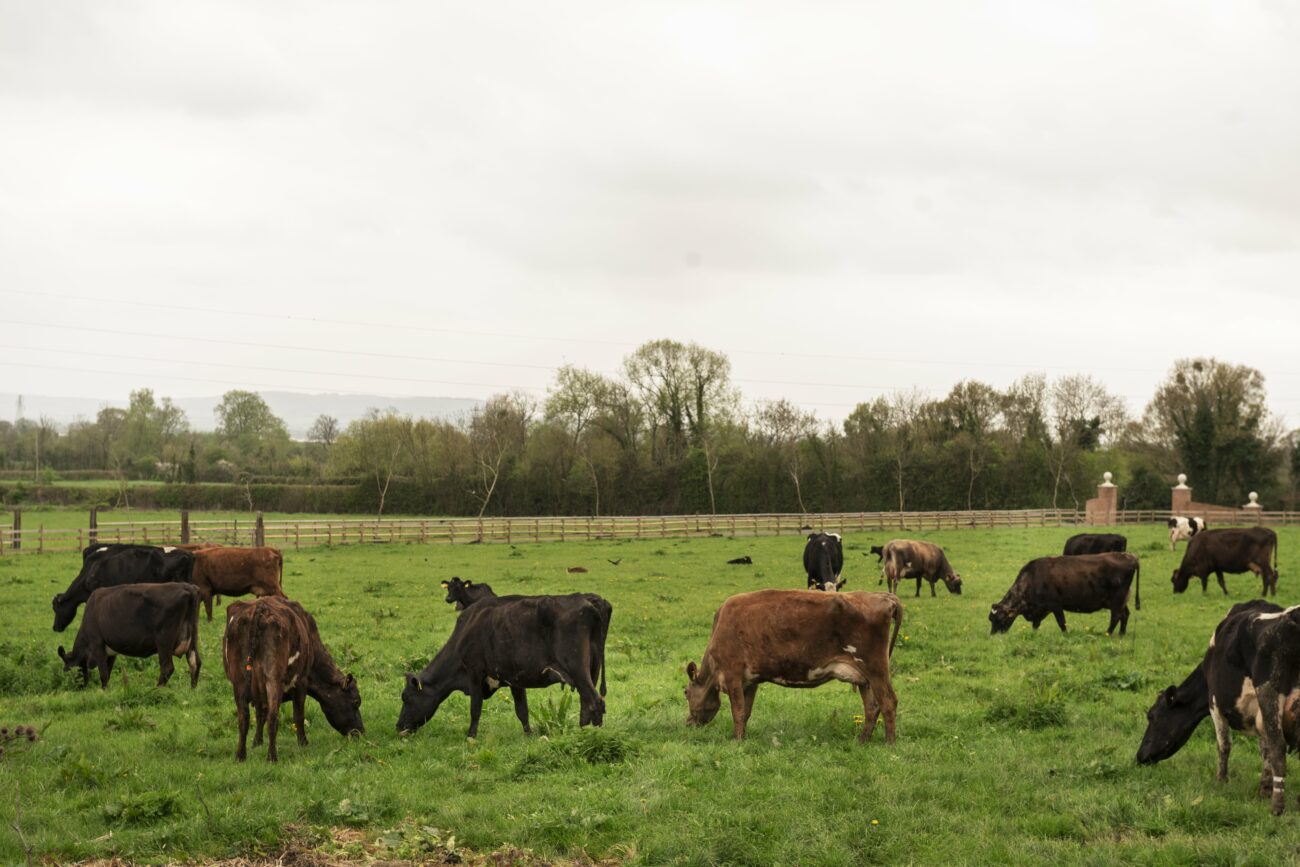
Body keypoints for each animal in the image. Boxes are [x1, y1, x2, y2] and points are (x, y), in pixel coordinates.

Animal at [57, 582, 201, 691]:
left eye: (66, 670)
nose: (77, 688)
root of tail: (187, 586)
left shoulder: (97, 643)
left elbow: (103, 673)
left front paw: (103, 691)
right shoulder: (111, 652)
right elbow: (108, 671)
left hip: (164, 640)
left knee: (167, 667)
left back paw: (157, 690)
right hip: (192, 636)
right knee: (195, 662)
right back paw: (192, 690)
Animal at [223, 600, 364, 764]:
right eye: (356, 701)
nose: (361, 731)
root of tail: (260, 608)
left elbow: (260, 714)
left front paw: (257, 742)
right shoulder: (301, 682)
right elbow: (299, 714)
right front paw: (303, 742)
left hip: (240, 679)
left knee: (244, 717)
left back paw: (240, 755)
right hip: (274, 677)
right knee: (273, 716)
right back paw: (272, 757)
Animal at [681, 590, 904, 748]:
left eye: (686, 692)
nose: (688, 723)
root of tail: (884, 596)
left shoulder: (732, 673)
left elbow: (737, 710)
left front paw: (736, 741)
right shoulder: (750, 680)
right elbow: (746, 711)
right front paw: (742, 738)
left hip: (875, 668)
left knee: (888, 702)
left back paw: (890, 744)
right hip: (864, 678)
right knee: (872, 707)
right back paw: (862, 740)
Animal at [987, 556, 1144, 636]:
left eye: (999, 618)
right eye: (991, 619)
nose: (993, 635)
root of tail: (1129, 557)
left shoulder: (1056, 605)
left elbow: (1061, 622)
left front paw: (1066, 635)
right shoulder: (1040, 609)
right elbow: (1035, 625)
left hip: (1117, 600)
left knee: (1116, 616)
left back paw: (1108, 633)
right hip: (1121, 600)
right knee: (1125, 614)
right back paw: (1121, 633)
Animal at [1133, 600, 1300, 816]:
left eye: (1151, 716)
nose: (1140, 756)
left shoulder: (1215, 703)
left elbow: (1224, 744)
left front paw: (1221, 780)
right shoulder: (1259, 716)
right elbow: (1264, 749)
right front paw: (1264, 789)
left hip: (1268, 692)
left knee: (1279, 747)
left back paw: (1277, 808)